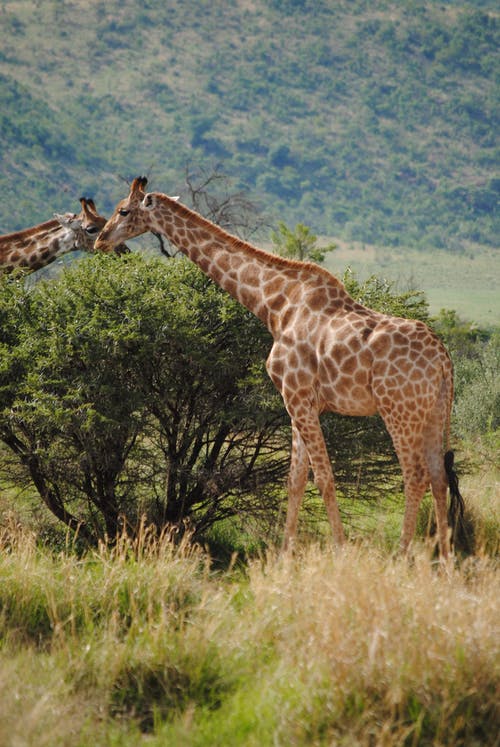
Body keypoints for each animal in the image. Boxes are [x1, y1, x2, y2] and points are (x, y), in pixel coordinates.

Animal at [94, 178, 464, 560]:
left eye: (124, 210)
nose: (100, 239)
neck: (274, 305)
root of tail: (443, 359)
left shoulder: (297, 396)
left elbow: (324, 477)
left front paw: (340, 550)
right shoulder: (298, 402)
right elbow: (295, 479)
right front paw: (285, 555)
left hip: (398, 409)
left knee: (415, 475)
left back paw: (403, 554)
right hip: (433, 411)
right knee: (439, 476)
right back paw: (445, 557)